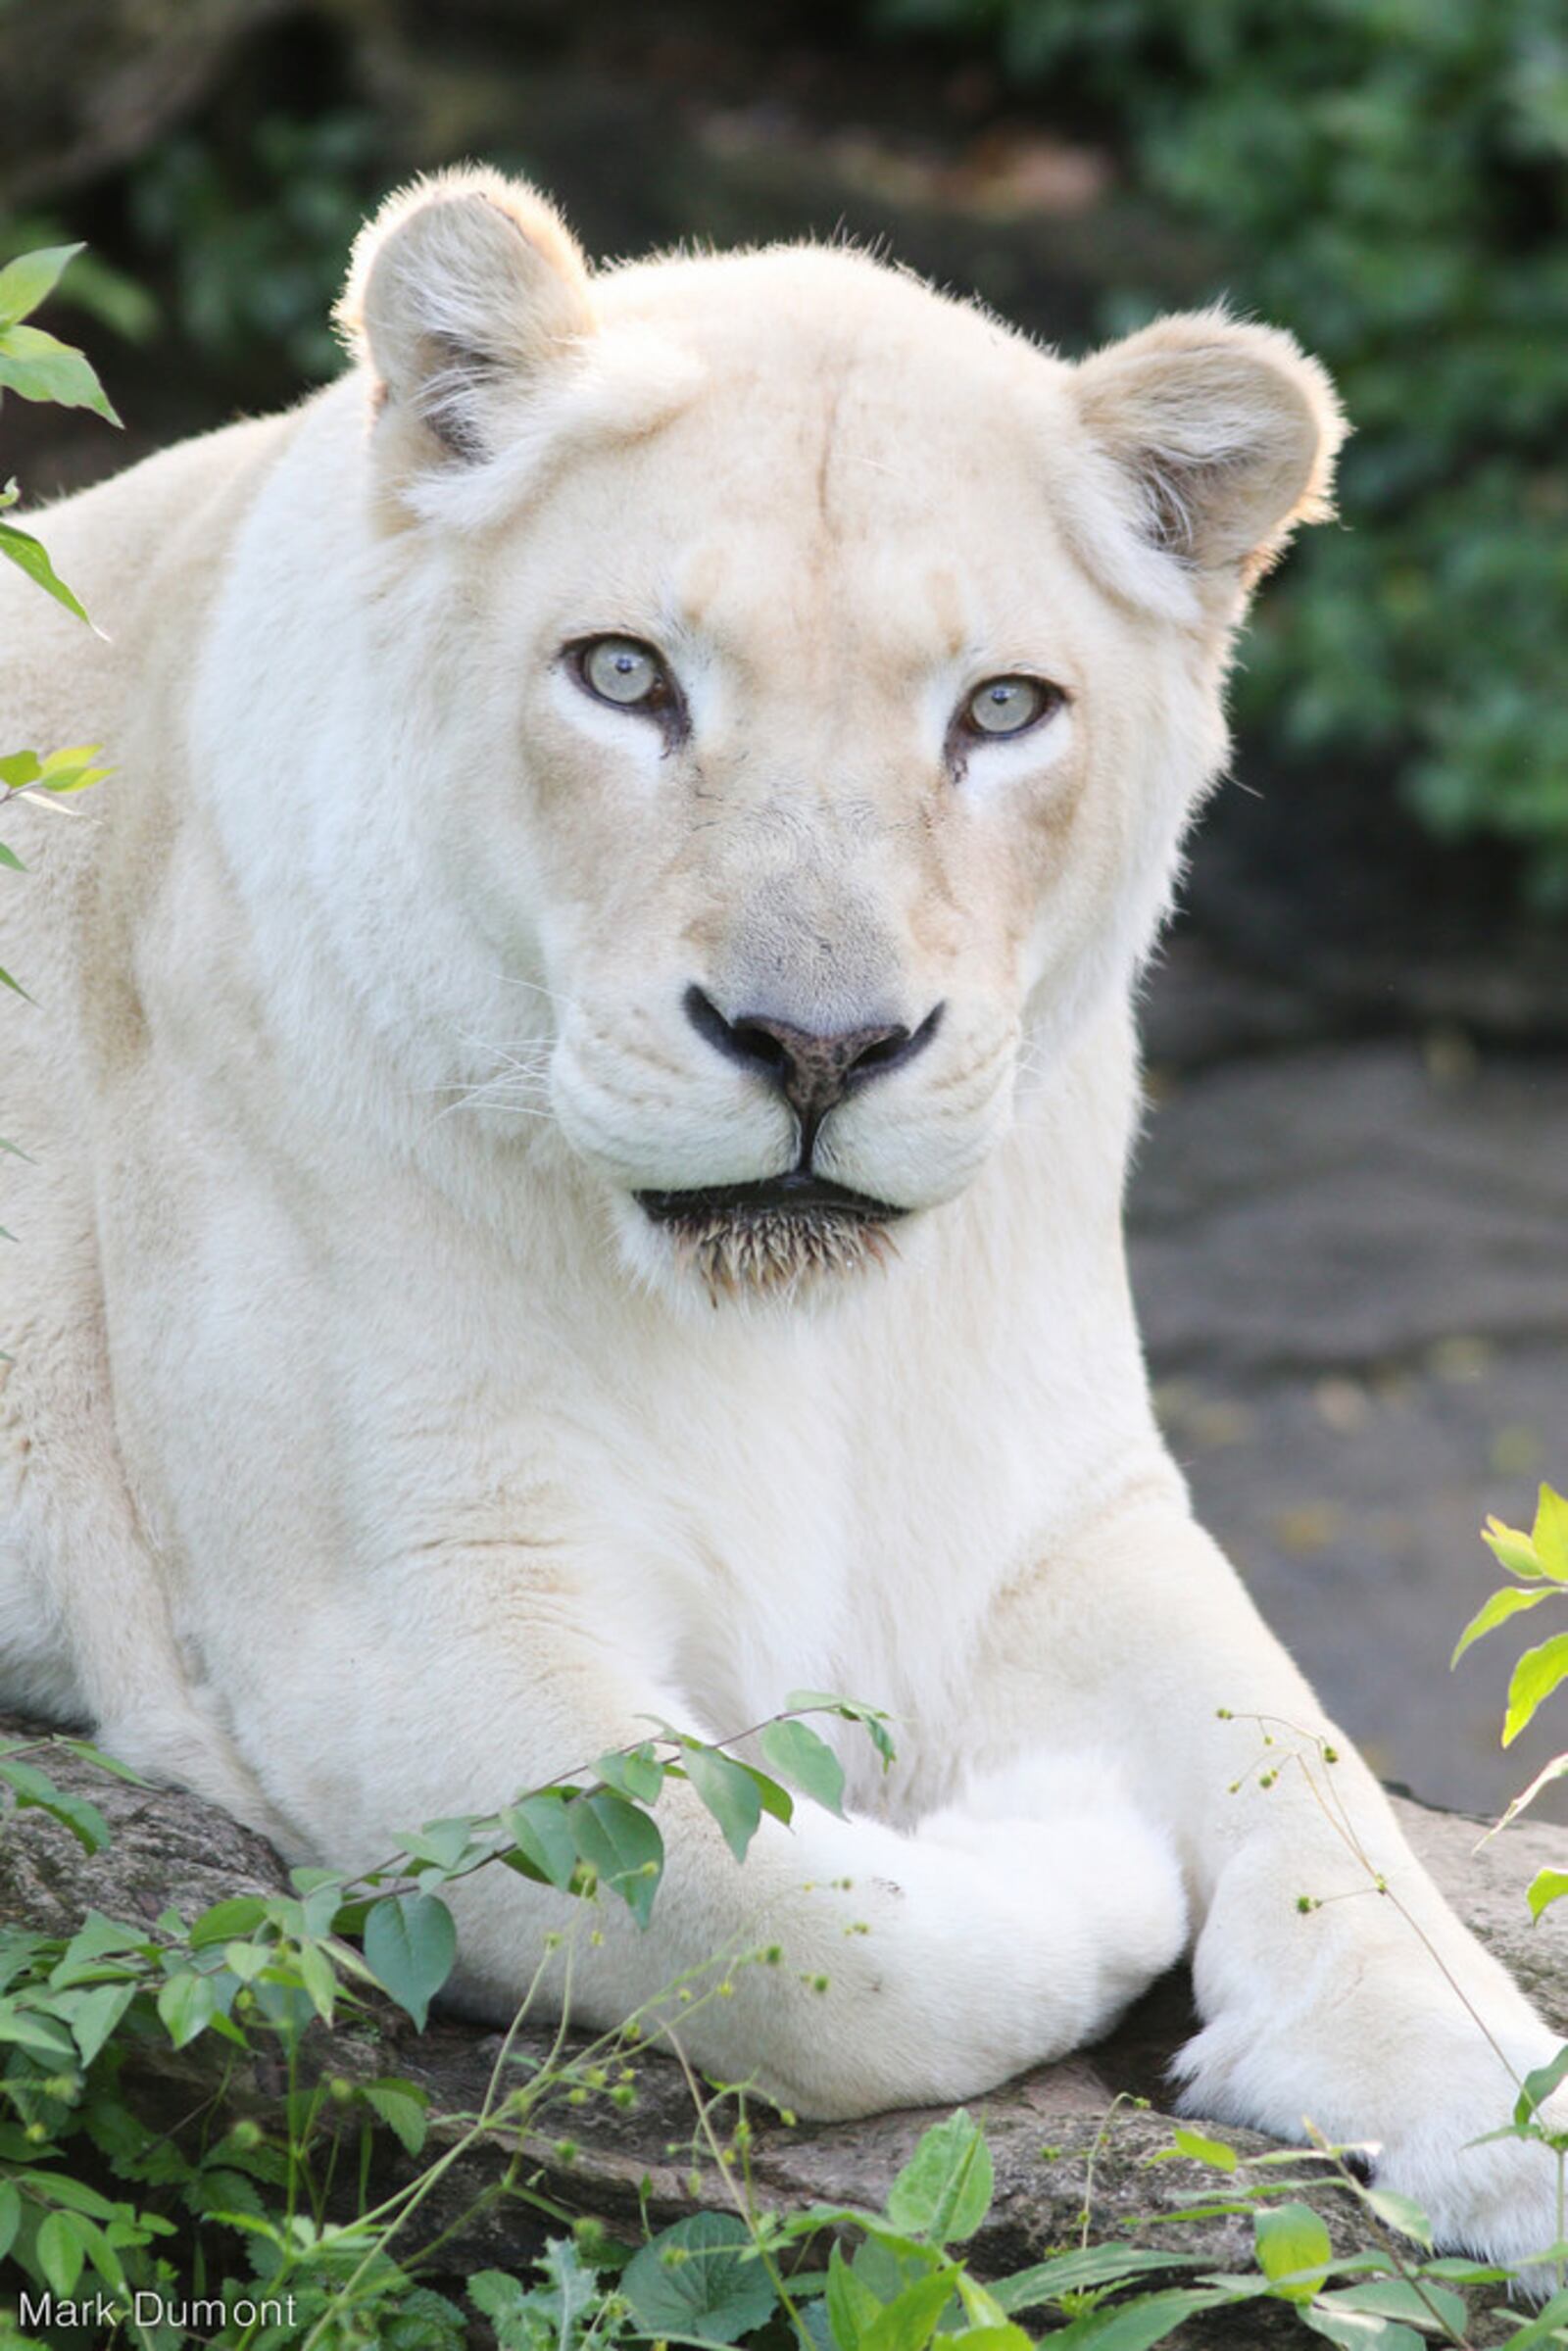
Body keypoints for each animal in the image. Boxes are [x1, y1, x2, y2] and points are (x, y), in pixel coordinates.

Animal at [0, 170, 1560, 2276]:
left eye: (1002, 708)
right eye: (626, 674)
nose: (818, 1045)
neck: (796, 1342)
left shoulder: (1053, 1516)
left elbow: (1314, 1781)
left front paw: (1501, 2110)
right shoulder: (394, 1638)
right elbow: (785, 1923)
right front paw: (1072, 1835)